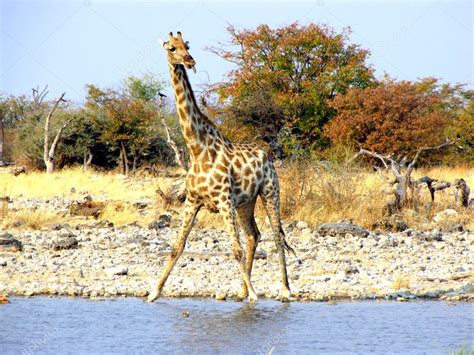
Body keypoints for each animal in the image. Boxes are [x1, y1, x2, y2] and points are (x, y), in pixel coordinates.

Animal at [146, 32, 294, 304]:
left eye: (187, 46)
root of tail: (267, 157)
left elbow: (234, 250)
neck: (197, 149)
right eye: (172, 48)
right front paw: (154, 292)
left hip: (270, 192)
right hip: (246, 202)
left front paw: (255, 294)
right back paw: (242, 289)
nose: (189, 60)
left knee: (277, 236)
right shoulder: (192, 201)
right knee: (254, 235)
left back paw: (284, 289)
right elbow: (176, 246)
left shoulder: (224, 201)